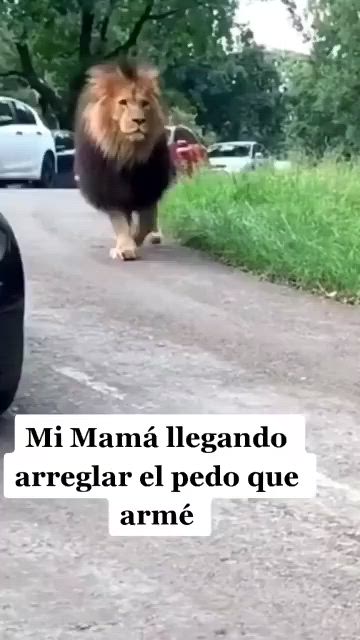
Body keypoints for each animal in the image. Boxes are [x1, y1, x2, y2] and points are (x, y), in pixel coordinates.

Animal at [74, 59, 174, 260]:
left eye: (144, 103)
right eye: (123, 102)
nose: (139, 121)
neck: (127, 152)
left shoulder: (148, 187)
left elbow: (146, 220)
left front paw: (136, 239)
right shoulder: (109, 188)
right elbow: (120, 221)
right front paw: (125, 248)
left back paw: (155, 235)